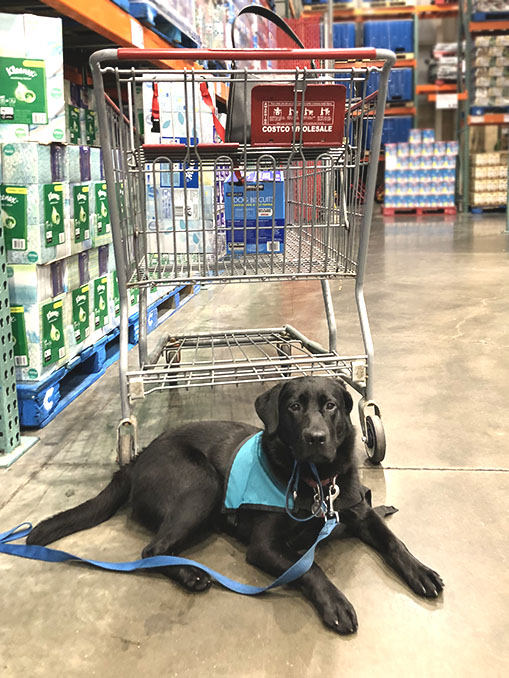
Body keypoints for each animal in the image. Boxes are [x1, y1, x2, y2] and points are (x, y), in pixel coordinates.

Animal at [26, 380, 440, 636]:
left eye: (331, 406)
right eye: (294, 406)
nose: (316, 437)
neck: (316, 481)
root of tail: (137, 457)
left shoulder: (358, 513)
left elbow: (393, 542)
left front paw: (421, 571)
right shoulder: (265, 547)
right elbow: (311, 568)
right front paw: (335, 603)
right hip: (203, 485)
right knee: (152, 550)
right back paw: (191, 575)